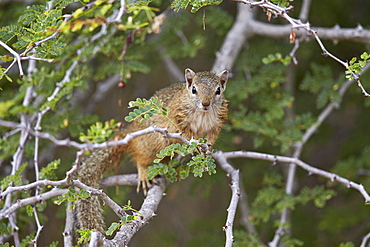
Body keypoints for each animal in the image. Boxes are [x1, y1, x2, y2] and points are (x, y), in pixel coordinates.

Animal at [76, 68, 228, 233]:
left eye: (218, 90)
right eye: (194, 89)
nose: (206, 103)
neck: (203, 113)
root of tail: (131, 130)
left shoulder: (217, 122)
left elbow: (211, 137)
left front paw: (207, 149)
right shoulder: (178, 114)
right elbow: (185, 132)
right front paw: (197, 145)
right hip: (151, 144)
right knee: (141, 159)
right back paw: (143, 173)